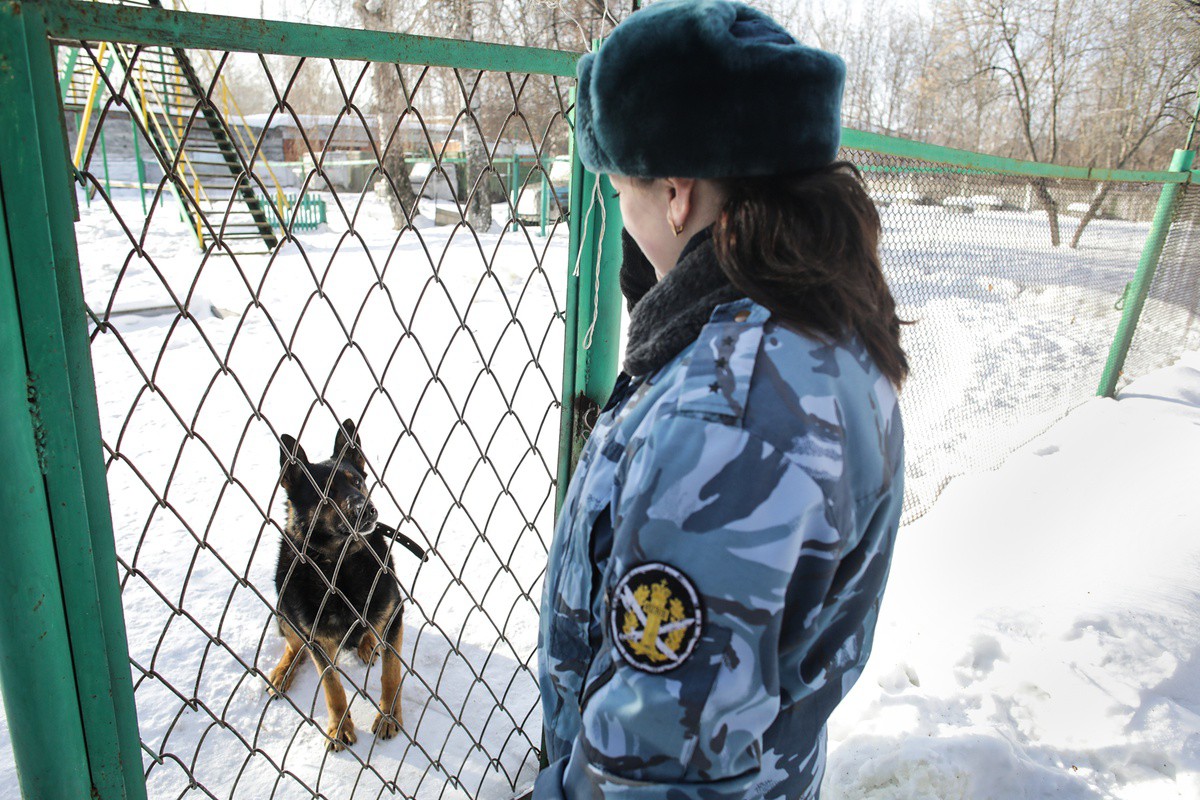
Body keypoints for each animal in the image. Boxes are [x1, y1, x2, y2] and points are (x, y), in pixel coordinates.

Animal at [272, 422, 422, 753]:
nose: (367, 510)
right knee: (293, 646)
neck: (339, 567)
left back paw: (367, 643)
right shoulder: (316, 639)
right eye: (326, 492)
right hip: (283, 605)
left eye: (357, 481)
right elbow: (332, 687)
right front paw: (339, 728)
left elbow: (391, 674)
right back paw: (281, 672)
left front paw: (388, 717)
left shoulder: (393, 615)